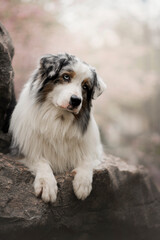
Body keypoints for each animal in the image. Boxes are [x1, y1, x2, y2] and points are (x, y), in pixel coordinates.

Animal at [10, 54, 107, 202]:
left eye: (85, 86)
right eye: (66, 77)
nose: (76, 100)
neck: (59, 118)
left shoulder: (93, 149)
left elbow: (87, 160)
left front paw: (83, 183)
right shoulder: (26, 149)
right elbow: (41, 161)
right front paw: (47, 184)